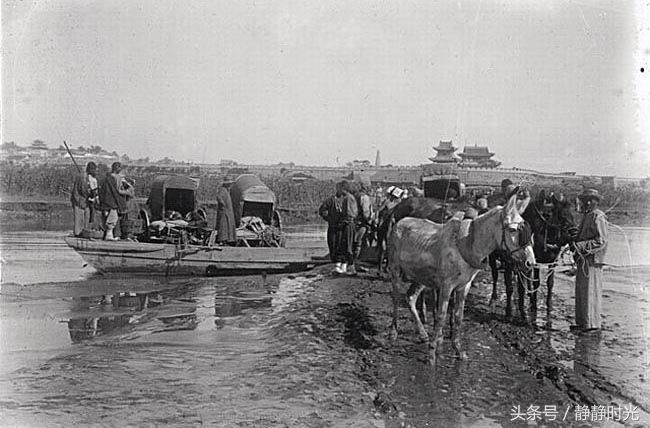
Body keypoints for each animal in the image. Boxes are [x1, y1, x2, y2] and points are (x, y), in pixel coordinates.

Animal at [384, 192, 532, 366]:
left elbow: (458, 317)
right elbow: (441, 316)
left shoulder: (463, 287)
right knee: (395, 298)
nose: (530, 262)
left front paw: (458, 350)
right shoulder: (446, 286)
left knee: (410, 297)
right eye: (512, 229)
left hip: (420, 277)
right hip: (395, 270)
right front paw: (432, 353)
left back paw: (422, 334)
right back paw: (393, 332)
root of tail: (398, 222)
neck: (467, 243)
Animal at [486, 190, 576, 324]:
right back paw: (493, 297)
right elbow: (515, 286)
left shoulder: (551, 262)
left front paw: (547, 304)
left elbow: (549, 283)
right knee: (495, 276)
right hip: (493, 258)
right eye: (561, 215)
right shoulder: (524, 263)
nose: (575, 233)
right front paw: (512, 311)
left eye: (573, 214)